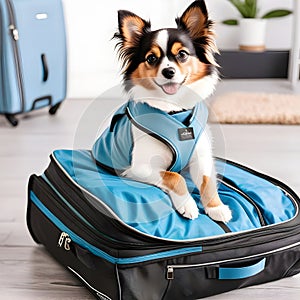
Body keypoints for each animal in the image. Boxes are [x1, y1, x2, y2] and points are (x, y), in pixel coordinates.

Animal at [92, 0, 232, 223]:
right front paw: (188, 205)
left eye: (182, 54)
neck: (173, 109)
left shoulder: (201, 159)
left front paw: (216, 207)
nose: (168, 71)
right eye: (151, 58)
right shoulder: (140, 168)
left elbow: (207, 181)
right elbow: (174, 176)